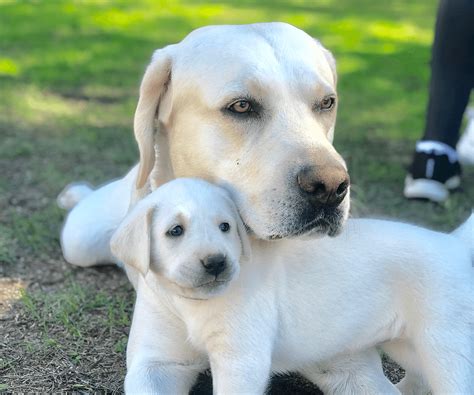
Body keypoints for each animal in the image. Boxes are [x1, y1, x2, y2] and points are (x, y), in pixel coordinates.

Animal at [112, 179, 474, 395]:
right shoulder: (157, 362)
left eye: (225, 227)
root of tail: (453, 243)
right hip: (408, 344)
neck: (191, 304)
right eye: (175, 231)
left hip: (445, 347)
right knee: (419, 375)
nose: (216, 263)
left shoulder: (241, 358)